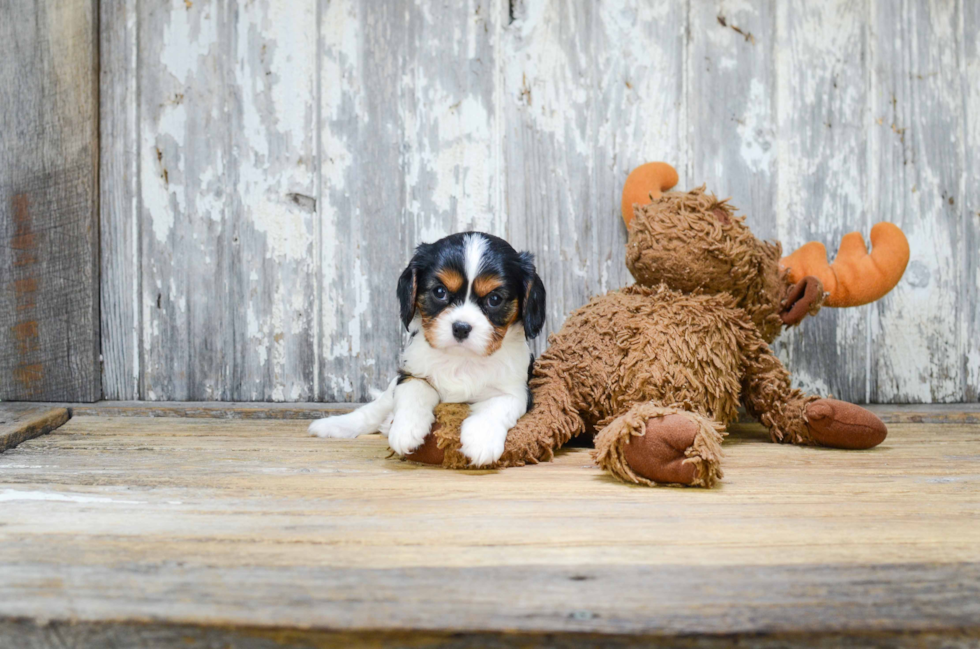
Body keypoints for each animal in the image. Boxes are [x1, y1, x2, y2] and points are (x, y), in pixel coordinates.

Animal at [308, 233, 544, 466]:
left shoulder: (516, 391)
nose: (461, 327)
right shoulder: (411, 373)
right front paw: (406, 430)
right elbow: (415, 391)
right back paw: (335, 425)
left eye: (494, 299)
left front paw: (480, 441)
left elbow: (496, 407)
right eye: (439, 292)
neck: (461, 359)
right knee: (372, 411)